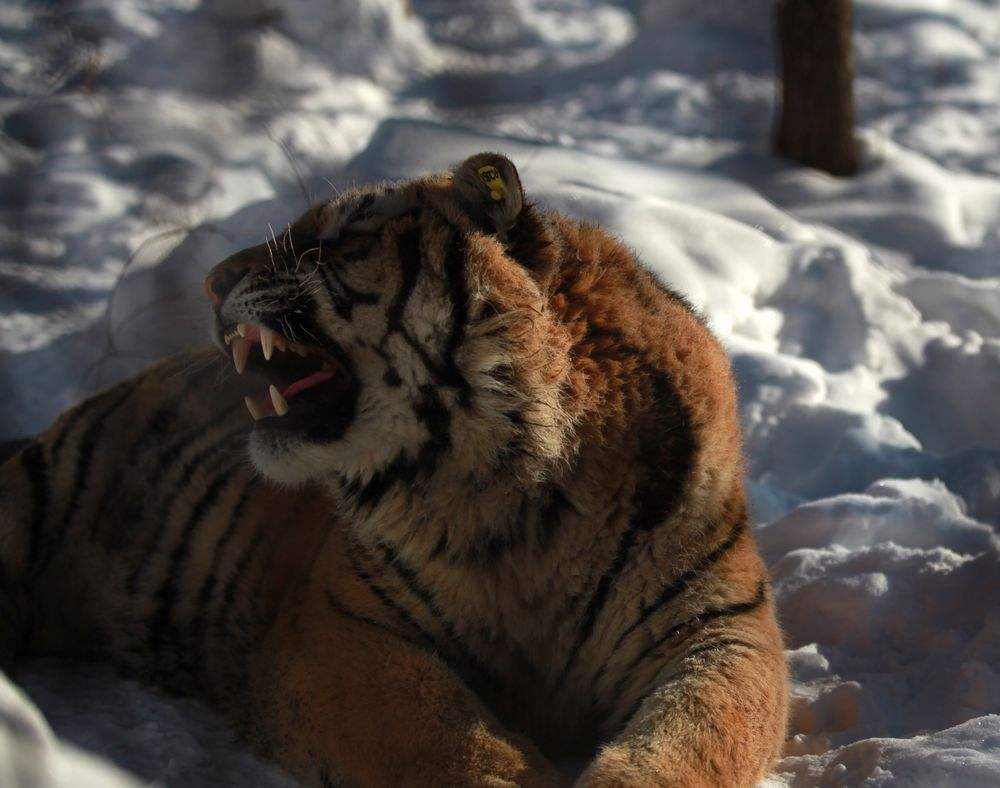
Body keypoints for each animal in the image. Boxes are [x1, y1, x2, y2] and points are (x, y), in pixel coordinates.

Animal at [0, 151, 788, 784]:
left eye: (335, 241)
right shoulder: (344, 623)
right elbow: (449, 739)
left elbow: (694, 739)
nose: (210, 282)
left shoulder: (723, 630)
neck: (529, 495)